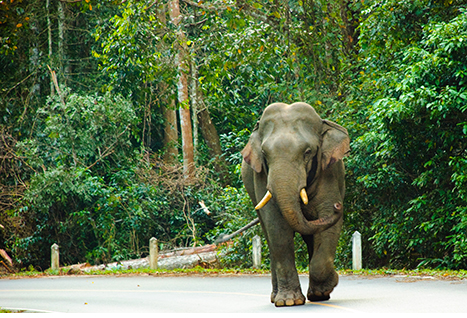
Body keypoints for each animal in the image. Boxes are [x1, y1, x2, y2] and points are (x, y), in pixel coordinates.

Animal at [241, 102, 352, 306]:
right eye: (264, 153)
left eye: (307, 152)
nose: (338, 206)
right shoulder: (260, 177)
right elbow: (277, 228)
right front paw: (288, 302)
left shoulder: (329, 171)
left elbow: (328, 226)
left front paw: (329, 284)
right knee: (270, 239)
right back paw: (275, 297)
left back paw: (318, 295)